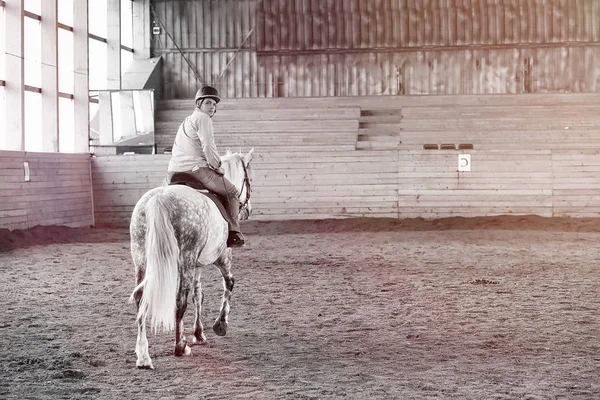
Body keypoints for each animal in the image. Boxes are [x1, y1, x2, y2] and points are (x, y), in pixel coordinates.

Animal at [128, 148, 253, 368]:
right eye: (249, 180)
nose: (249, 210)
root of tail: (160, 198)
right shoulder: (222, 257)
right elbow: (229, 284)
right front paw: (220, 325)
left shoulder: (197, 266)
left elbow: (198, 295)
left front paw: (199, 334)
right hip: (186, 259)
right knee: (179, 301)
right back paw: (180, 346)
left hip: (141, 259)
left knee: (140, 297)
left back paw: (143, 355)